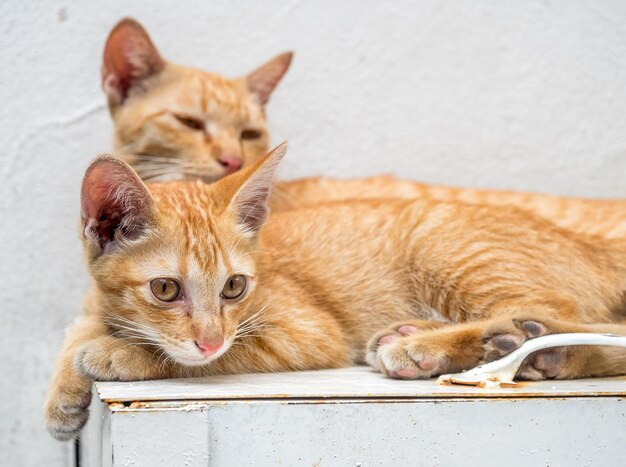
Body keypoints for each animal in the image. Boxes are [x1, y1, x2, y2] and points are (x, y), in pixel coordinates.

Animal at [46, 144, 624, 440]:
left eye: (234, 286)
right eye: (166, 289)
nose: (209, 337)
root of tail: (587, 242)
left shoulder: (304, 333)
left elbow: (211, 357)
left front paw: (117, 354)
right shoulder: (95, 303)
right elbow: (78, 328)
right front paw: (64, 393)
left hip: (448, 247)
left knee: (575, 319)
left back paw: (463, 347)